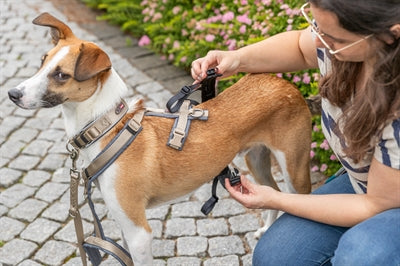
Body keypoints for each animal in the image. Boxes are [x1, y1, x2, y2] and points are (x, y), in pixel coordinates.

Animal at [7, 13, 312, 266]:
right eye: (42, 62)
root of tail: (283, 82)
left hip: (295, 170)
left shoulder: (139, 231)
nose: (12, 94)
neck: (108, 129)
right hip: (257, 159)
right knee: (272, 192)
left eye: (61, 75)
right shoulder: (124, 222)